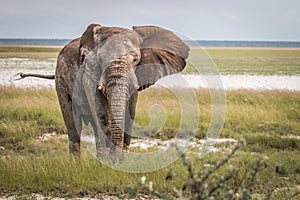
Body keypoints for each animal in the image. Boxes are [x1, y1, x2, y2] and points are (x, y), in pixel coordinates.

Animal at [17, 23, 189, 156]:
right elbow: (102, 114)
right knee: (74, 125)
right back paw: (76, 165)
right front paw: (109, 164)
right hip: (61, 80)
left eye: (136, 60)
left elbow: (129, 114)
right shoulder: (90, 74)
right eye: (101, 60)